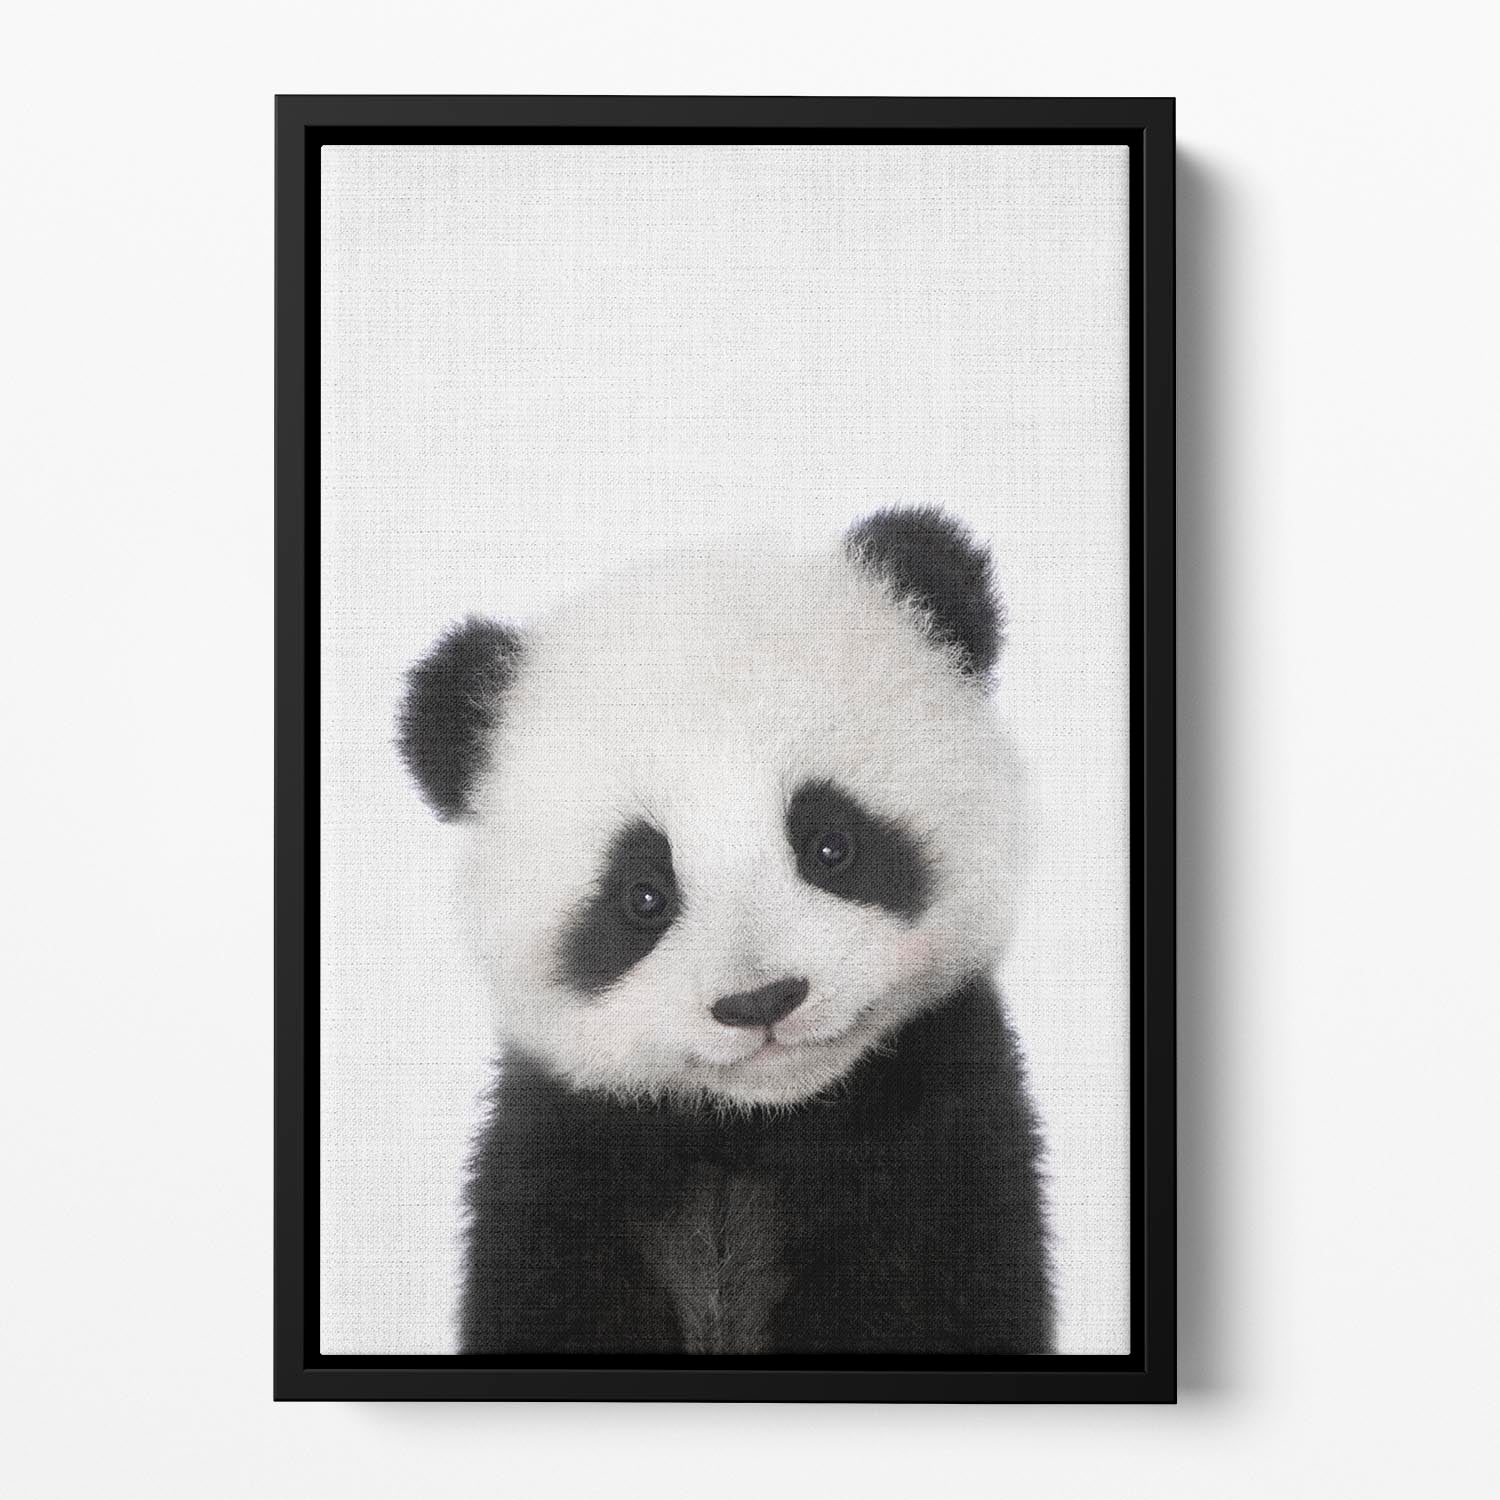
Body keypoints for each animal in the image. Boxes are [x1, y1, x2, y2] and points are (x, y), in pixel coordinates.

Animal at [398, 507, 1054, 1354]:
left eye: (830, 845)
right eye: (644, 894)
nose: (762, 1001)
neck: (752, 1128)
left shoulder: (939, 1138)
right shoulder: (565, 1161)